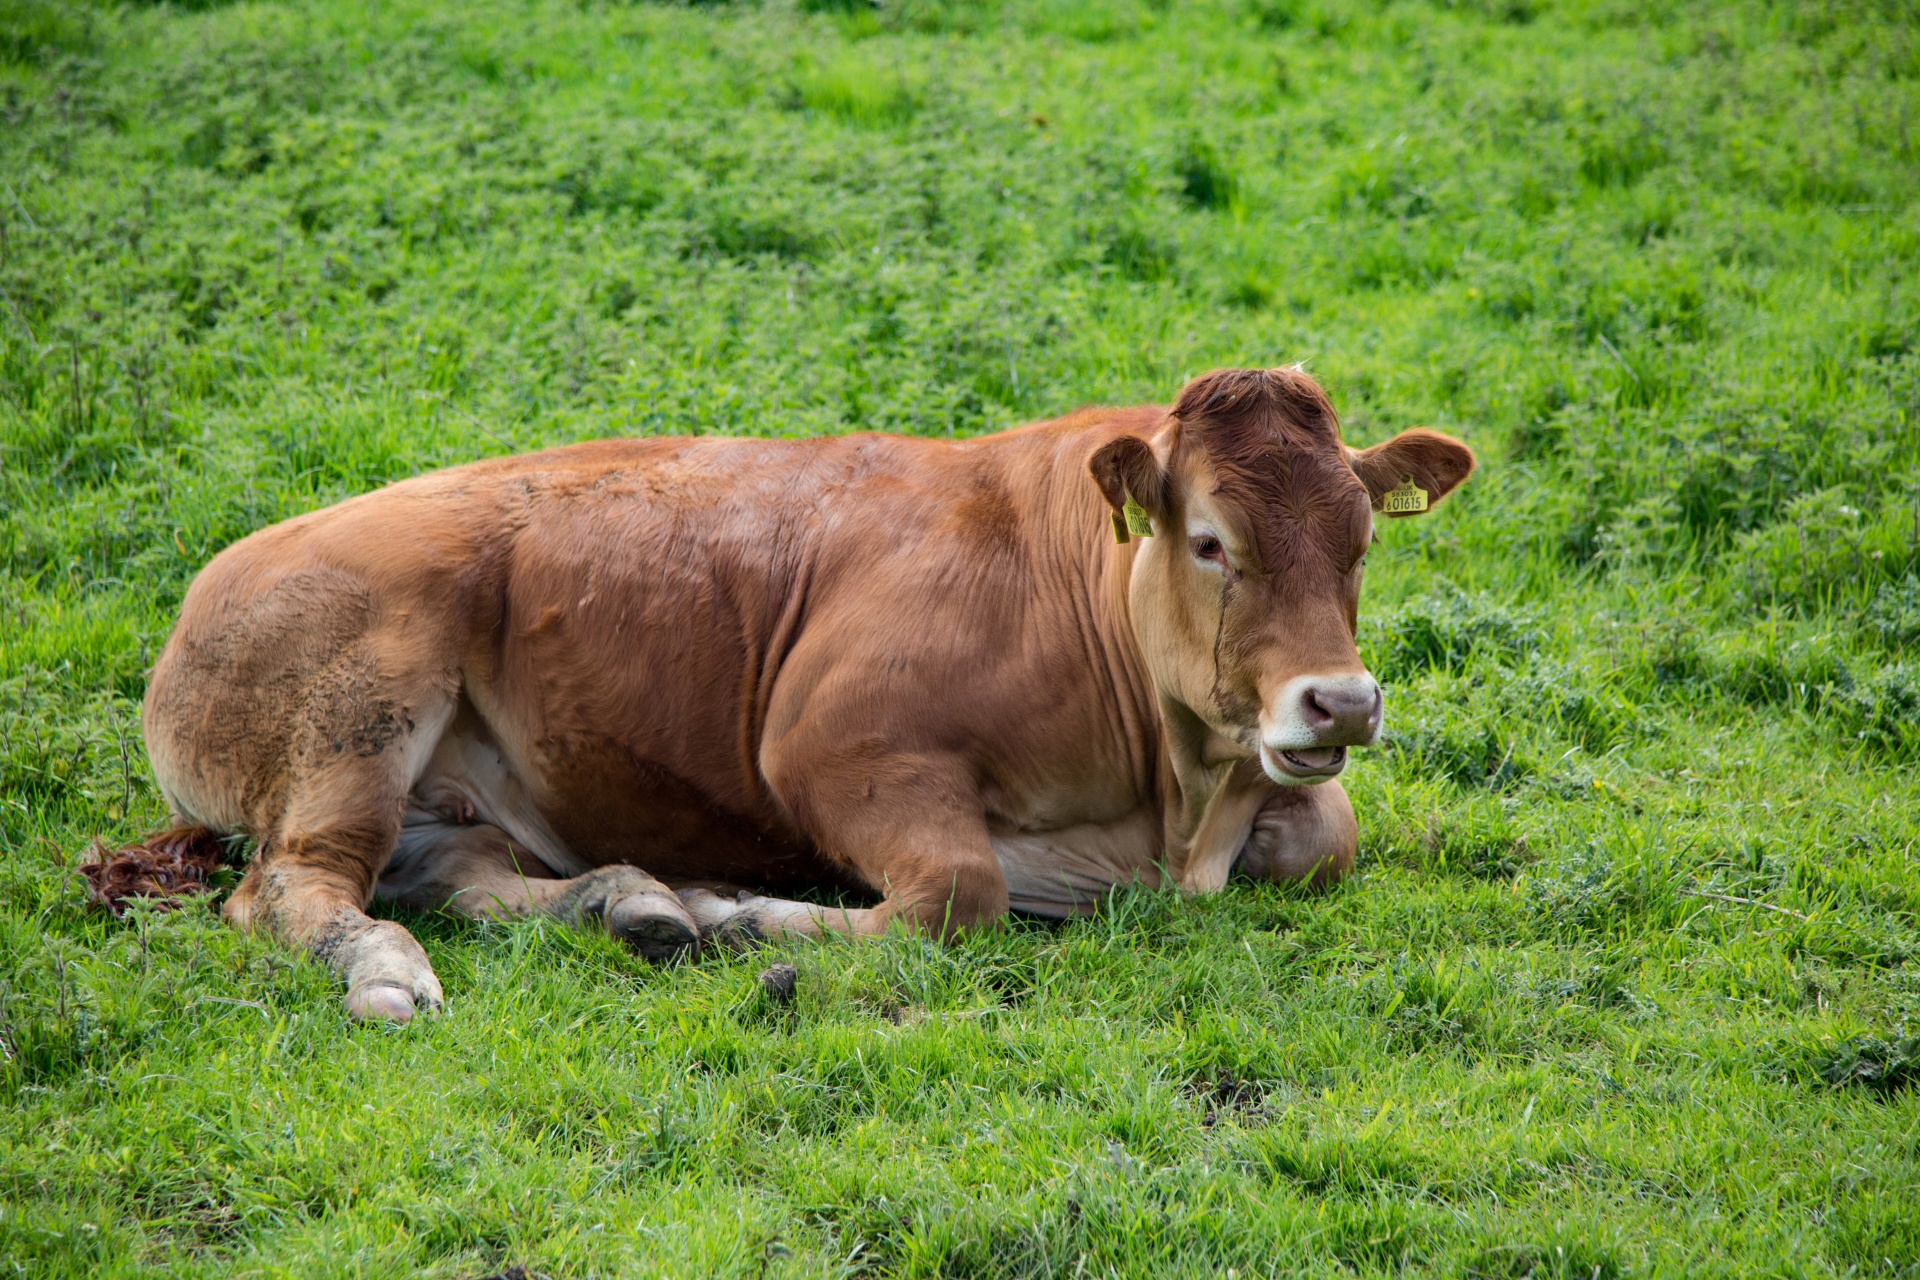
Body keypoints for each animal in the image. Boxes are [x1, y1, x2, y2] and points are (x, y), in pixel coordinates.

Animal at [139, 368, 1466, 1020]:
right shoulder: (832, 743)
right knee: (296, 885)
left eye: (1360, 541)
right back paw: (397, 969)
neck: (1171, 796)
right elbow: (959, 890)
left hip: (449, 792)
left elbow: (1328, 835)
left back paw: (631, 902)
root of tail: (211, 585)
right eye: (1208, 541)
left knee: (457, 873)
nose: (1341, 704)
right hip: (360, 713)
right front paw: (748, 917)